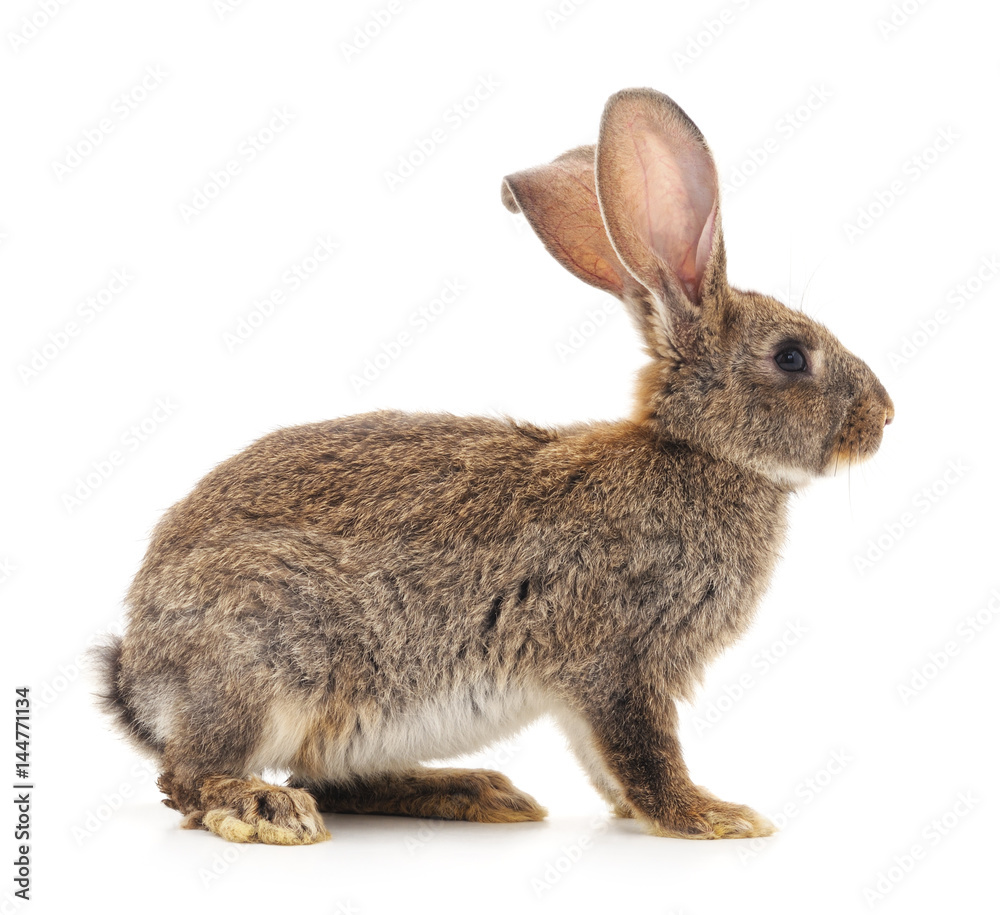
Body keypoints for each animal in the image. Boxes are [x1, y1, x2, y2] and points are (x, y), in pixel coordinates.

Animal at [93, 87, 893, 846]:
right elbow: (641, 752)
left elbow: (604, 760)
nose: (884, 417)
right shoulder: (617, 661)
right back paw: (264, 809)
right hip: (269, 666)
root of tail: (140, 677)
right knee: (193, 777)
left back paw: (472, 792)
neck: (697, 454)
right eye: (791, 357)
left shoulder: (590, 688)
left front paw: (648, 813)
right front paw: (711, 816)